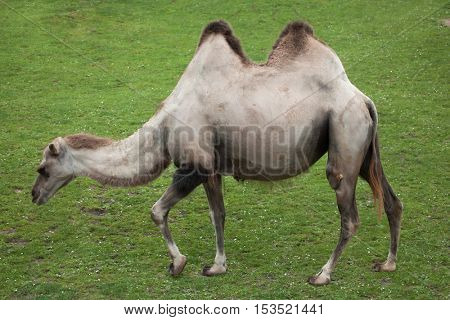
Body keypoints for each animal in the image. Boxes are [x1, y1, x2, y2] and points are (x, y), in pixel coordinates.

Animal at [33, 20, 402, 284]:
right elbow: (218, 214)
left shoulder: (194, 164)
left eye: (42, 168)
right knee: (392, 201)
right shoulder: (211, 167)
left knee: (349, 215)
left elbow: (157, 211)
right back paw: (388, 264)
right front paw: (217, 267)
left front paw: (178, 263)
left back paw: (322, 275)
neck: (162, 127)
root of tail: (361, 98)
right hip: (364, 149)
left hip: (345, 133)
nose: (35, 194)